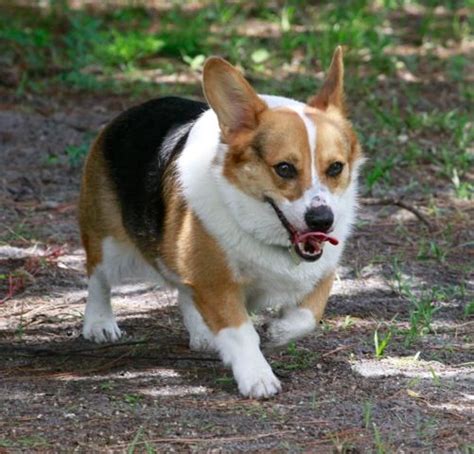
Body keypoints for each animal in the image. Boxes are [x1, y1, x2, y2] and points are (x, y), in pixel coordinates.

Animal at [78, 47, 362, 398]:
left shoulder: (323, 271)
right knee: (98, 276)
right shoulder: (217, 282)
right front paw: (257, 376)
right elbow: (241, 332)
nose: (322, 220)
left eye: (336, 168)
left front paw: (278, 330)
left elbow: (309, 314)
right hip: (110, 242)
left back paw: (202, 333)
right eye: (283, 168)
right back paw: (99, 323)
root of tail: (131, 112)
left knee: (184, 290)